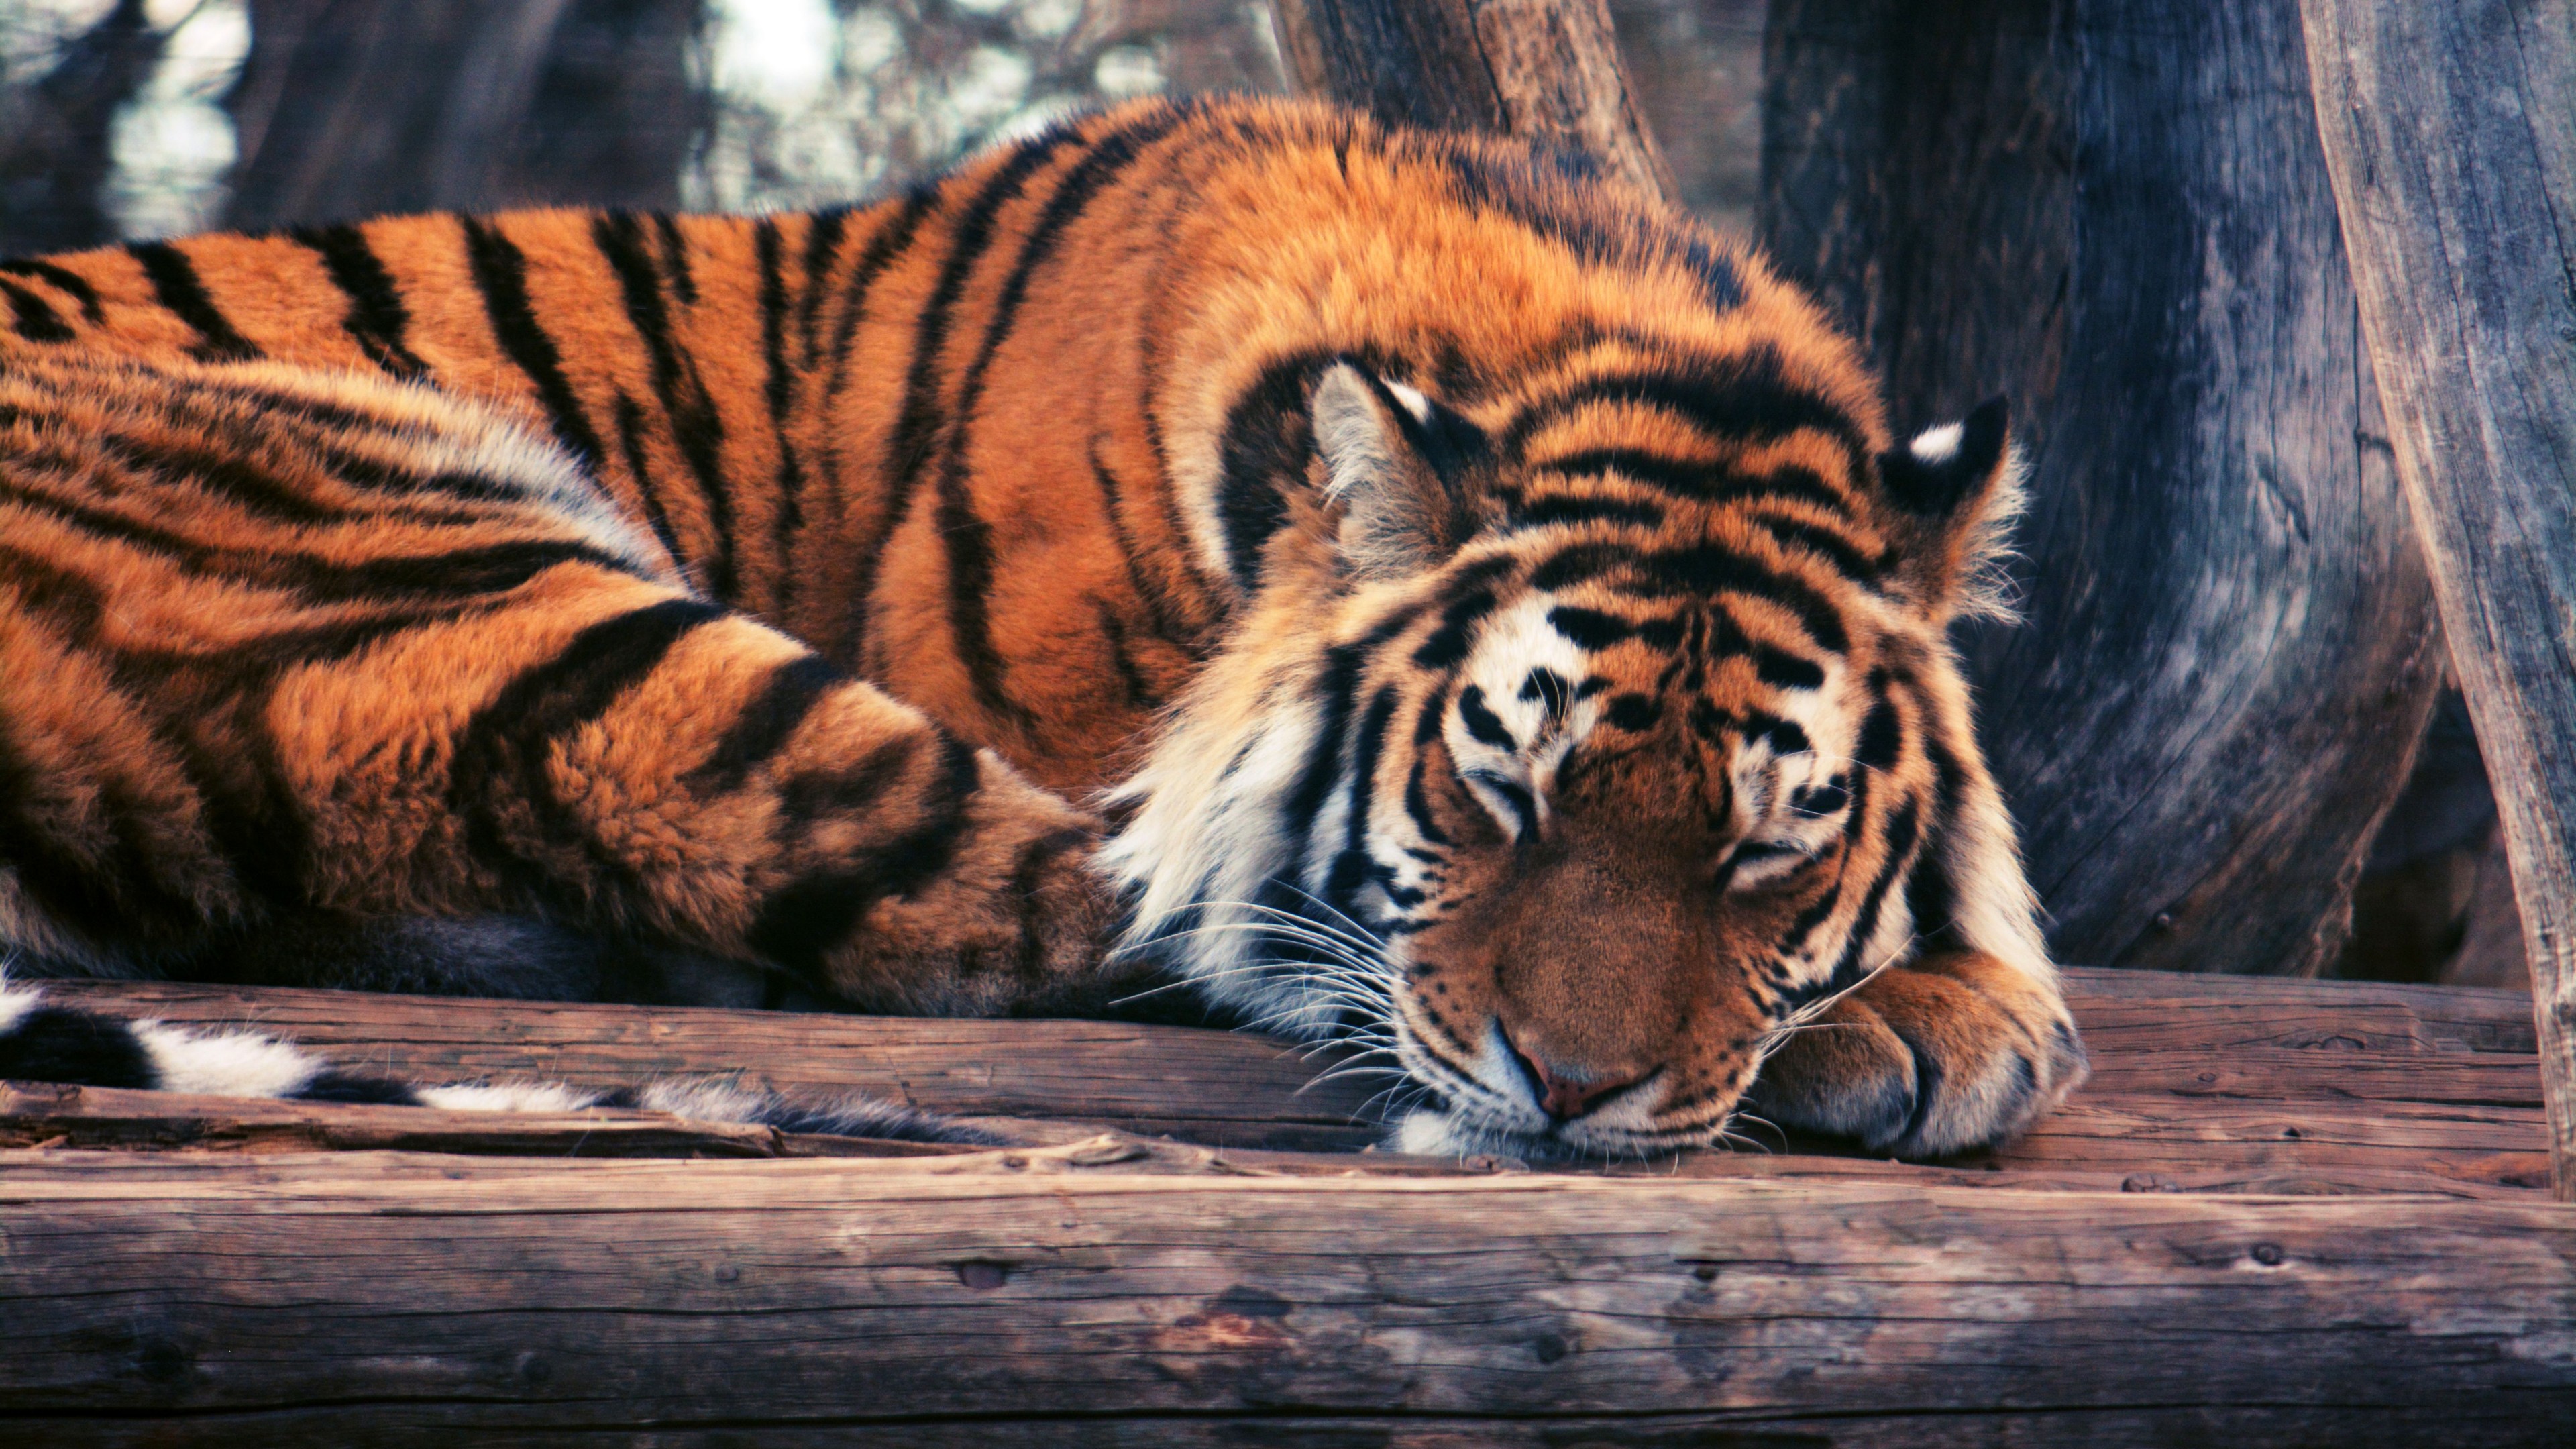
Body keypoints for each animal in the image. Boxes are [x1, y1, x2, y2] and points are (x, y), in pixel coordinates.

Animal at [0, 96, 2085, 1161]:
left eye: (1768, 842)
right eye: (1498, 791)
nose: (1569, 1099)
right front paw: (1935, 1018)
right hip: (474, 577)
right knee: (1055, 918)